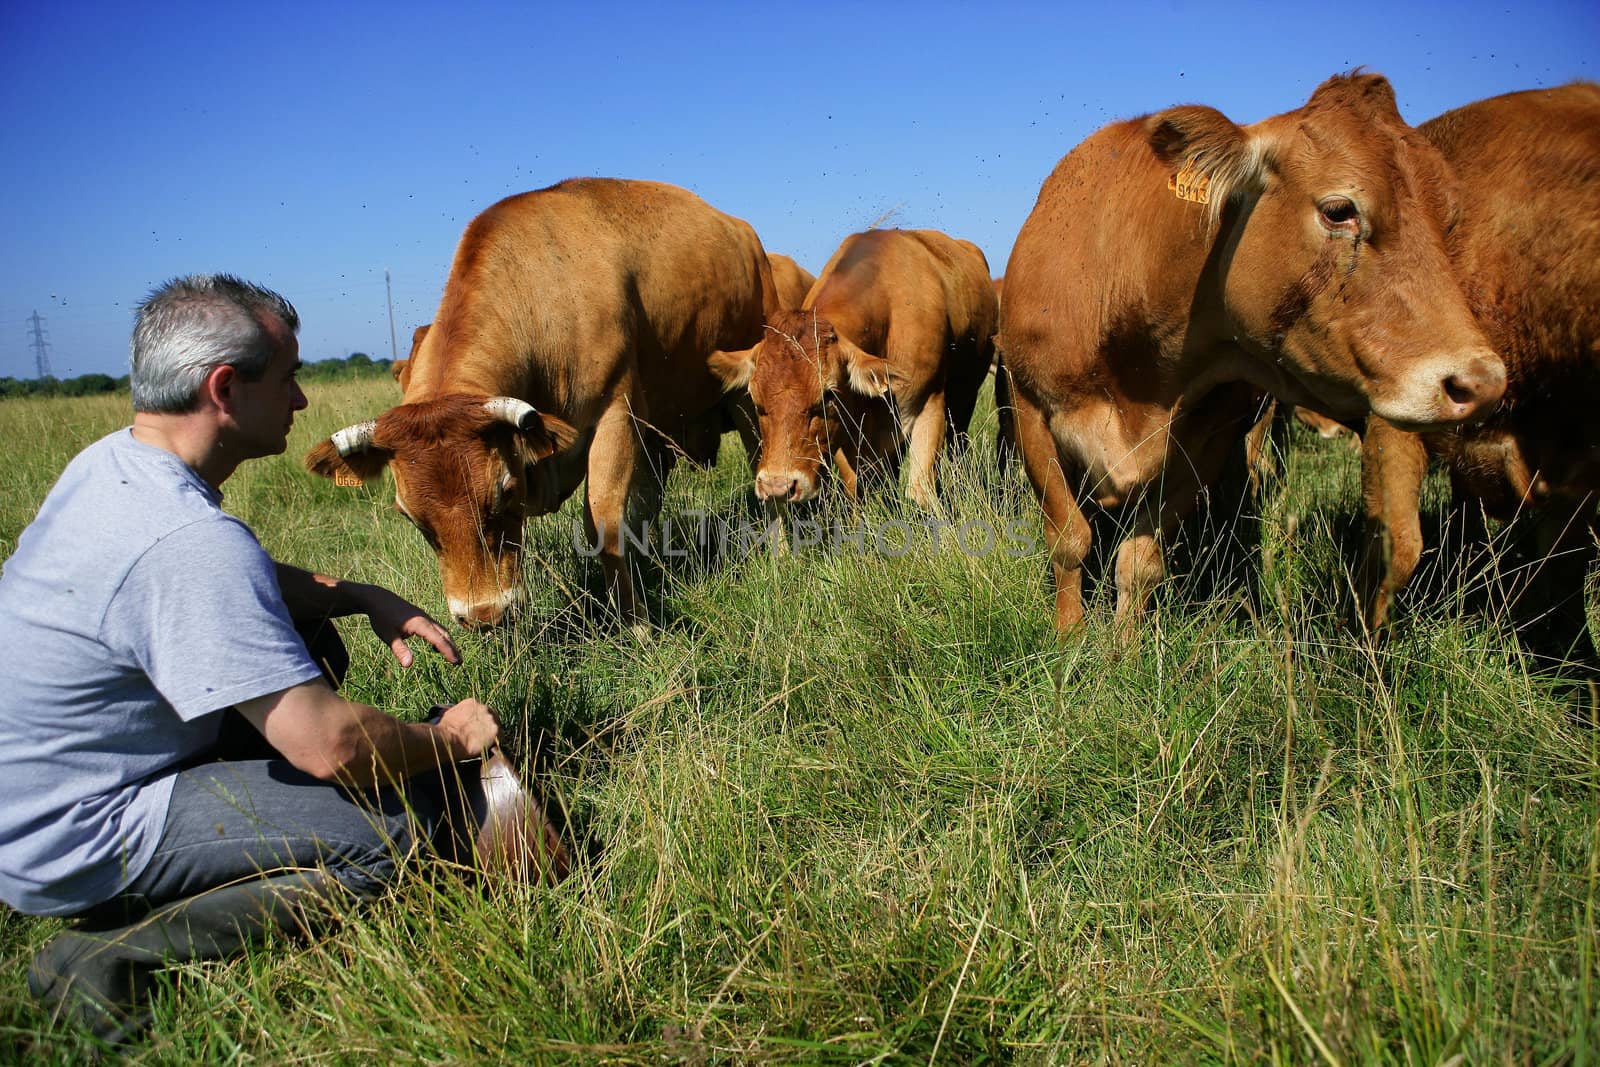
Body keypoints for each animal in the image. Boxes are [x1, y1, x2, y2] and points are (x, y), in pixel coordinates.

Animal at [307, 175, 780, 630]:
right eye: (410, 516)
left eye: (505, 491)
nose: (484, 617)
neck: (541, 299)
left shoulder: (616, 410)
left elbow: (605, 523)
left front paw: (635, 625)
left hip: (749, 393)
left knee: (765, 470)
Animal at [716, 228, 998, 508]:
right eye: (755, 399)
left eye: (828, 395)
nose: (777, 487)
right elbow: (855, 489)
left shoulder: (930, 402)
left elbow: (921, 491)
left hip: (963, 403)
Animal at [1004, 75, 1504, 643]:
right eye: (1339, 209)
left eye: (1450, 216)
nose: (1482, 382)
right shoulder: (1029, 408)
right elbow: (1069, 540)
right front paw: (1068, 638)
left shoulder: (1209, 440)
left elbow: (1141, 562)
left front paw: (1124, 650)